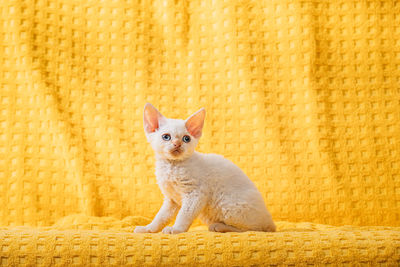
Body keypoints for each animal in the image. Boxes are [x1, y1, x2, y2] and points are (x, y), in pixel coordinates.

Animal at [134, 103, 276, 233]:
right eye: (166, 137)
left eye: (186, 138)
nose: (177, 144)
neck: (171, 166)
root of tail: (269, 219)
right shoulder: (171, 200)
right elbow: (160, 217)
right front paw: (148, 228)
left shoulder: (196, 194)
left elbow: (184, 215)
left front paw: (176, 229)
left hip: (227, 204)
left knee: (254, 229)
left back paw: (219, 227)